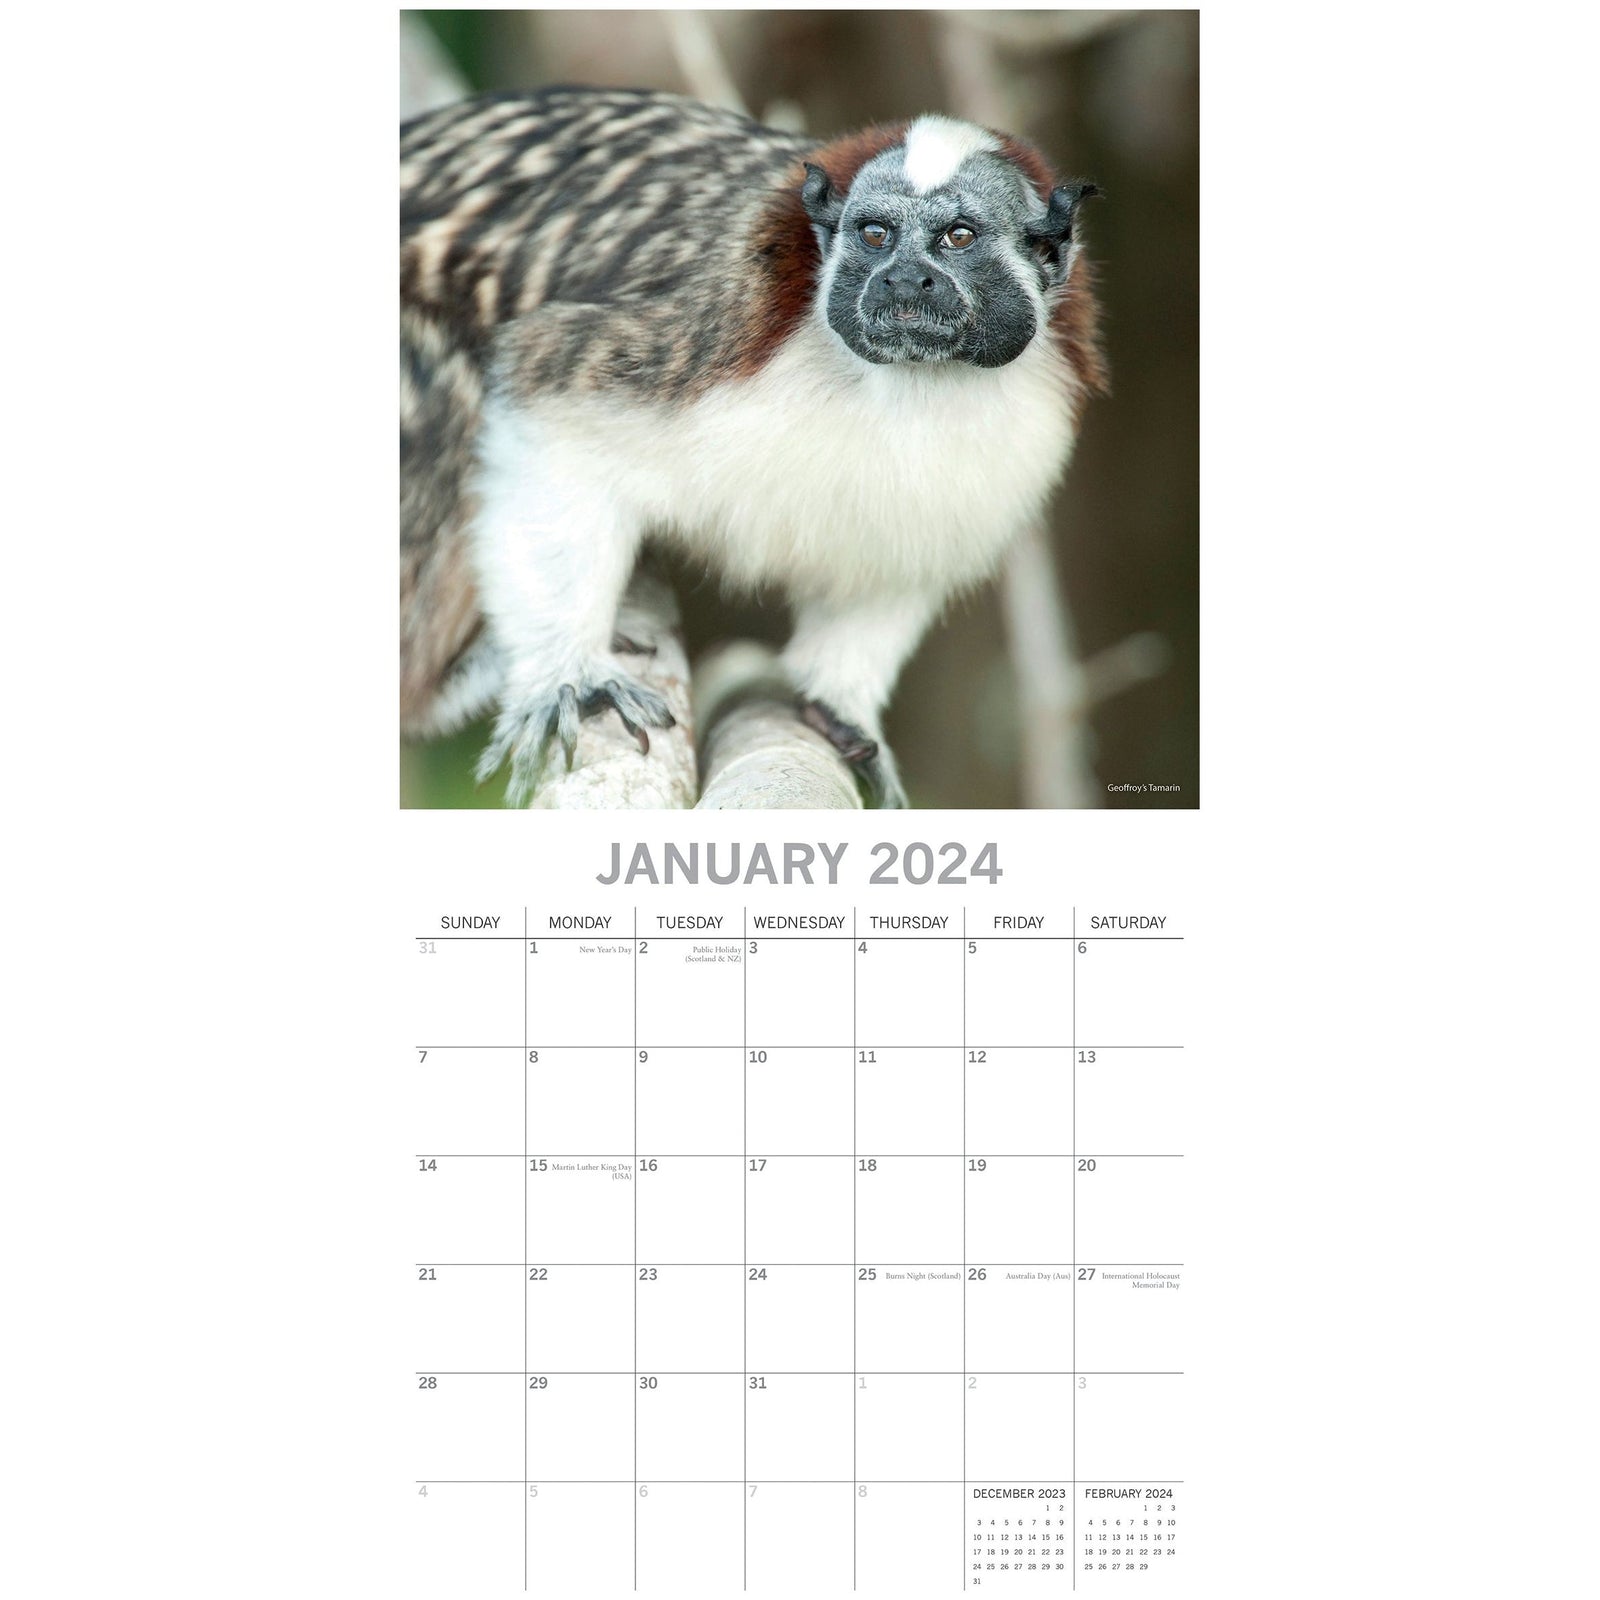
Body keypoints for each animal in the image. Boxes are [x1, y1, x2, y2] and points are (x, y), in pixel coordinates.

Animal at [401, 87, 1105, 807]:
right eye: (875, 234)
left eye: (957, 237)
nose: (905, 281)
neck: (908, 381)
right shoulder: (708, 336)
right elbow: (541, 390)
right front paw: (567, 672)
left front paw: (836, 703)